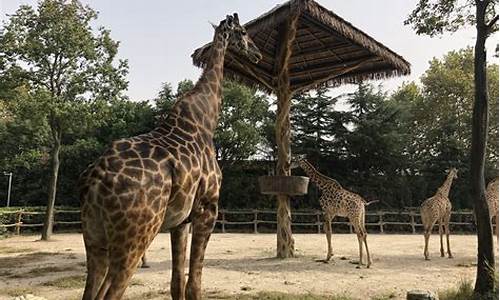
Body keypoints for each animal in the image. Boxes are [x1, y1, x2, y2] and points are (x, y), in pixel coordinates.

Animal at [78, 12, 262, 298]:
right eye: (243, 32)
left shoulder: (180, 221)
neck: (206, 119)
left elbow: (177, 283)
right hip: (136, 237)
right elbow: (194, 284)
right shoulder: (207, 209)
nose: (257, 53)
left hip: (94, 238)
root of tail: (94, 181)